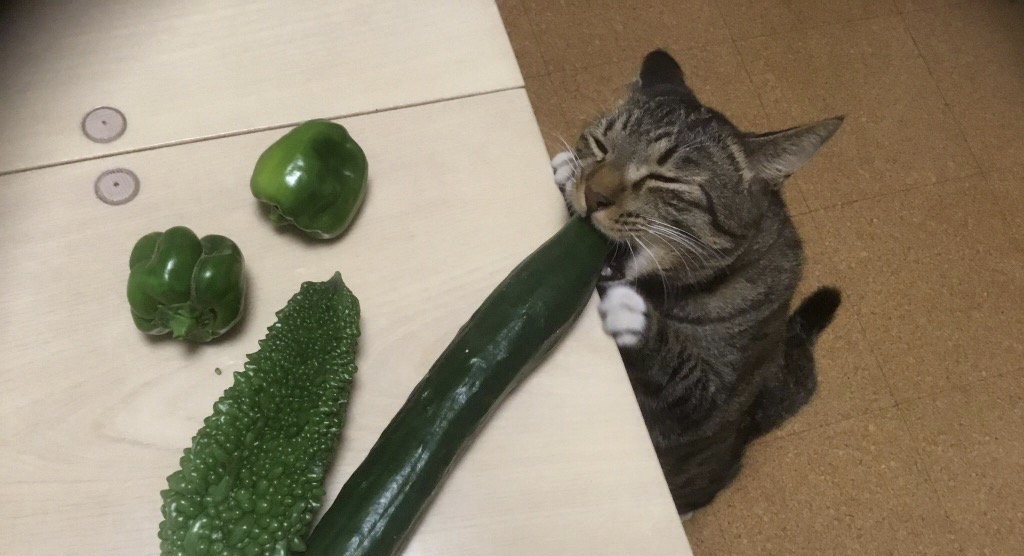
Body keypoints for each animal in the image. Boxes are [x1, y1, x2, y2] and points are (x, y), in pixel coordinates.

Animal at [552, 50, 839, 516]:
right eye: (600, 145)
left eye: (664, 178)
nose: (592, 195)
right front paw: (566, 169)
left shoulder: (705, 401)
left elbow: (677, 371)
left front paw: (635, 317)